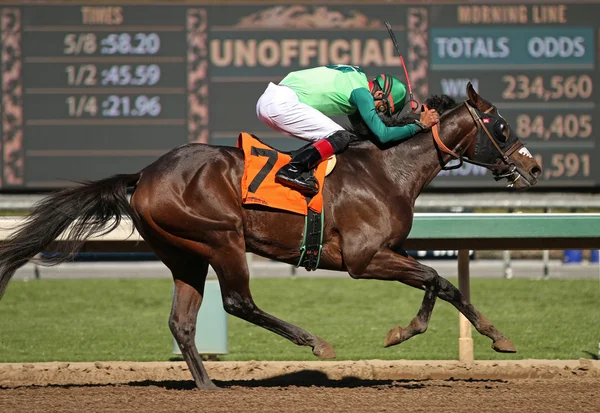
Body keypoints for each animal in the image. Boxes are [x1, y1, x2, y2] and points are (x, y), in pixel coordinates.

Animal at [0, 84, 540, 390]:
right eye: (500, 125)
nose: (533, 168)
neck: (387, 170)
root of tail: (145, 174)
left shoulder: (392, 250)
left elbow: (444, 283)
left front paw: (499, 337)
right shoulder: (364, 259)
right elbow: (431, 277)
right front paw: (403, 332)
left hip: (184, 255)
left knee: (182, 322)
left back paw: (209, 388)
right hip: (221, 239)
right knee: (237, 302)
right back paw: (314, 342)